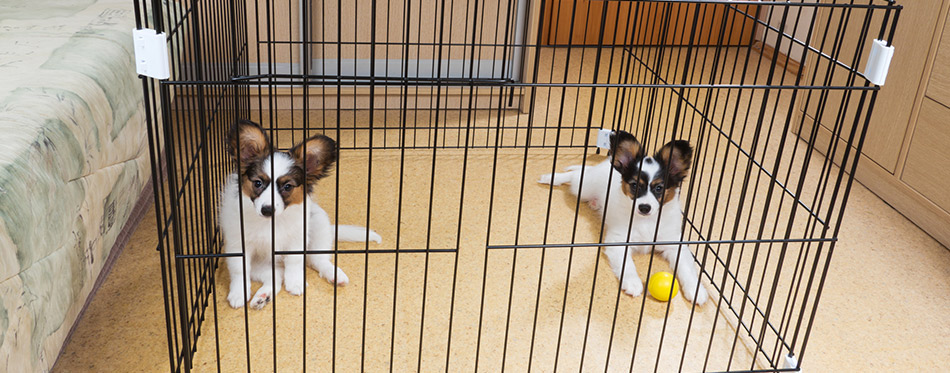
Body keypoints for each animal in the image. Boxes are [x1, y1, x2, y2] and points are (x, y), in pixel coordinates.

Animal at [221, 120, 382, 308]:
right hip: (260, 264)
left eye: (287, 186)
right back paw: (262, 297)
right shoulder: (238, 245)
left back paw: (335, 274)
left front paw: (295, 282)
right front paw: (238, 293)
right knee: (275, 278)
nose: (267, 209)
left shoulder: (297, 238)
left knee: (317, 260)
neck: (272, 223)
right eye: (258, 183)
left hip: (318, 226)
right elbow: (239, 269)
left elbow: (295, 260)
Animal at [544, 129, 708, 304]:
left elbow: (687, 268)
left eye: (659, 188)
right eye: (634, 185)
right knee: (577, 174)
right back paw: (552, 178)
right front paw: (633, 283)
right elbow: (627, 265)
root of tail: (606, 164)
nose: (644, 207)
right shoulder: (618, 241)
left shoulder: (675, 243)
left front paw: (696, 290)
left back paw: (594, 203)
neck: (647, 221)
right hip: (584, 188)